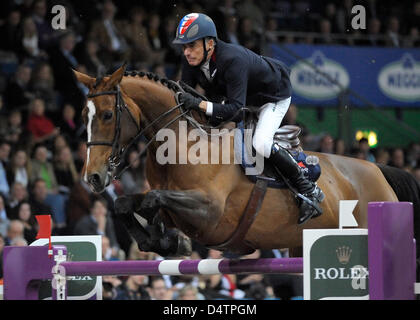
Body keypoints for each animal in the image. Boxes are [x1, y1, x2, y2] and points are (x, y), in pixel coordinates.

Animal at [74, 65, 420, 264]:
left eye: (107, 114)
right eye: (82, 116)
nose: (92, 178)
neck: (181, 144)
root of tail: (379, 170)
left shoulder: (209, 212)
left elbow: (151, 200)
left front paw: (170, 239)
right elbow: (124, 203)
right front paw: (164, 241)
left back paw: (311, 196)